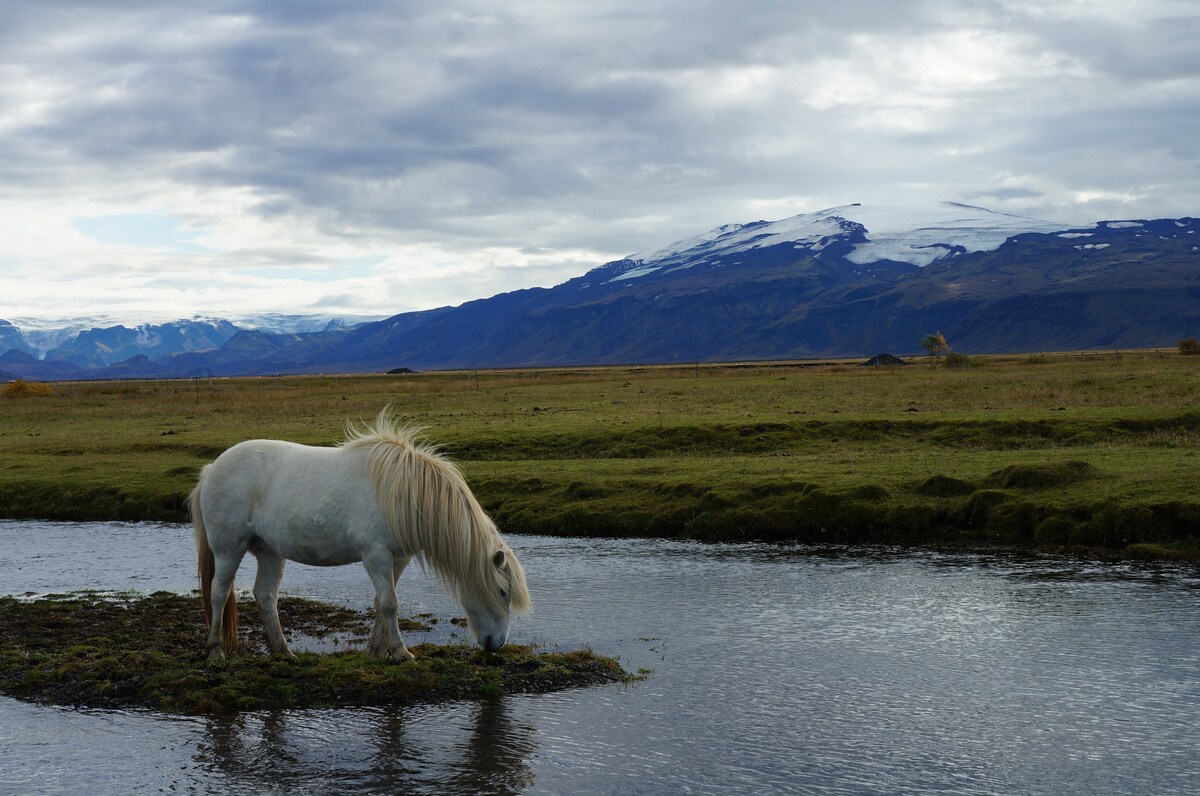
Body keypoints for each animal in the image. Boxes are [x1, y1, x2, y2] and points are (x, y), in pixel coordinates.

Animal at [190, 410, 530, 657]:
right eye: (503, 591)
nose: (496, 644)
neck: (403, 492)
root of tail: (211, 469)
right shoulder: (375, 555)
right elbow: (390, 602)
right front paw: (401, 652)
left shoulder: (398, 558)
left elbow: (383, 600)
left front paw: (378, 649)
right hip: (229, 549)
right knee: (219, 592)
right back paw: (216, 651)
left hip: (269, 551)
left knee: (266, 595)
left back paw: (283, 652)